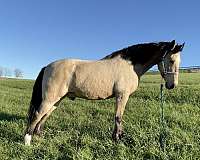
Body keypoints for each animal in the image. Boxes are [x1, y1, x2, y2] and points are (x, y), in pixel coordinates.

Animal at [24, 39, 184, 145]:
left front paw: (118, 136)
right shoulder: (121, 96)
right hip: (49, 99)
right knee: (37, 114)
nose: (172, 85)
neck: (130, 65)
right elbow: (118, 117)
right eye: (171, 60)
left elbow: (119, 117)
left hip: (57, 100)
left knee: (44, 115)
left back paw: (39, 135)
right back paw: (27, 140)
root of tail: (47, 66)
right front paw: (117, 138)